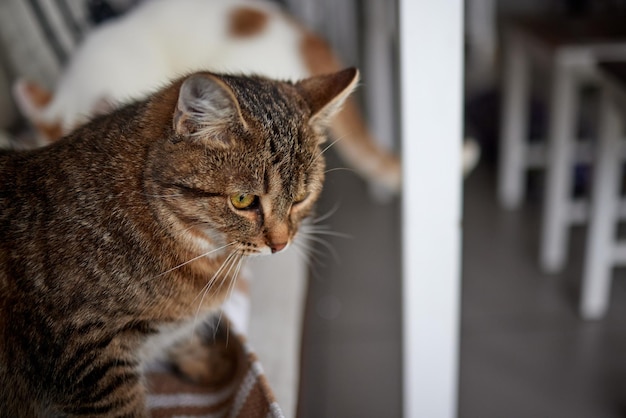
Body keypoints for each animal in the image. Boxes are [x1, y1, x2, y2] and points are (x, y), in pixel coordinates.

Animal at [0, 67, 356, 416]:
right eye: (243, 200)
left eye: (300, 199)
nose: (280, 244)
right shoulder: (89, 357)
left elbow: (180, 338)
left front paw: (207, 362)